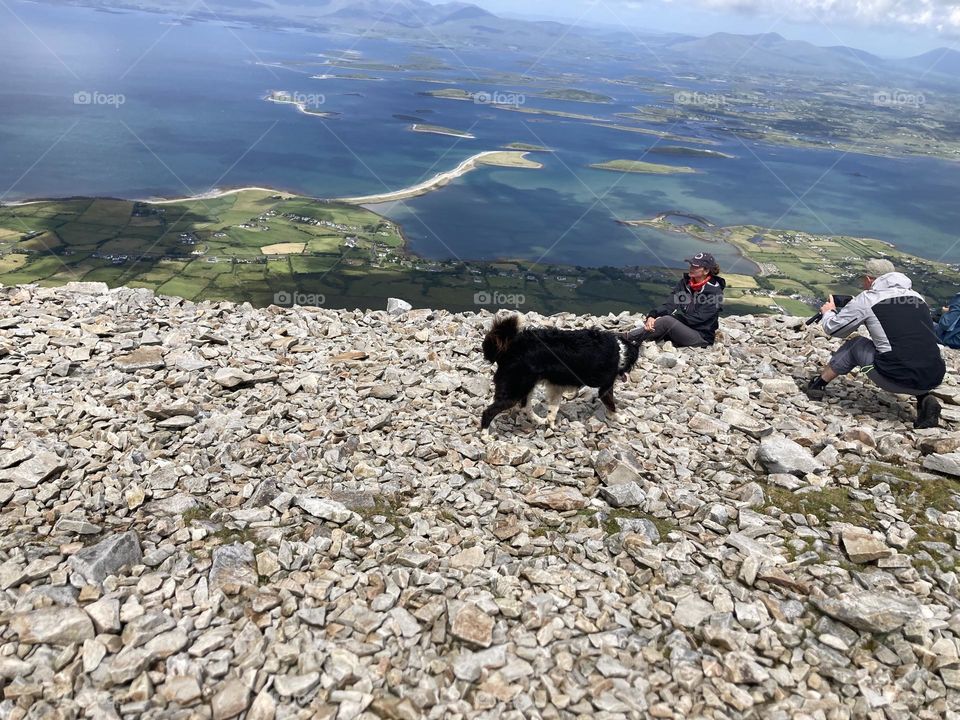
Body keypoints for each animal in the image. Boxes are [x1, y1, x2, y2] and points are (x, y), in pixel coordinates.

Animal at [480, 314, 636, 428]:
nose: (627, 377)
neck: (621, 350)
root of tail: (509, 349)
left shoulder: (556, 386)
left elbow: (553, 408)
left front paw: (550, 423)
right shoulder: (606, 386)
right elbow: (611, 404)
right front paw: (619, 418)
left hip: (526, 385)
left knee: (525, 407)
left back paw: (538, 420)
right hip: (515, 389)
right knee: (488, 412)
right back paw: (486, 435)